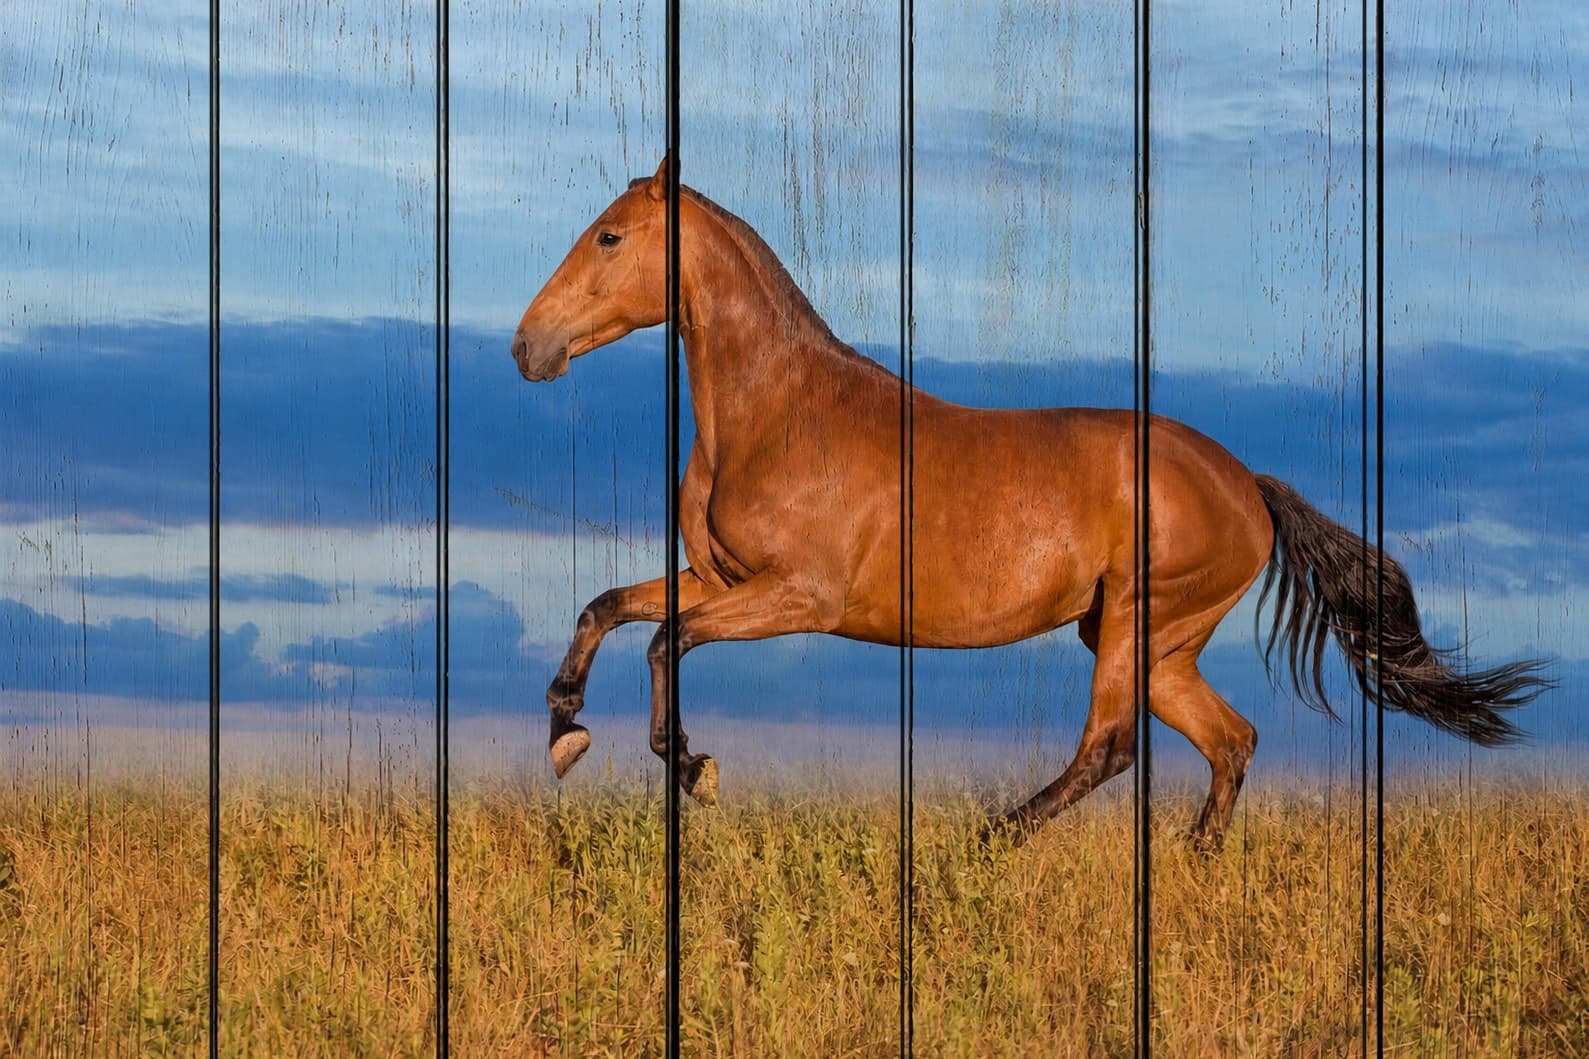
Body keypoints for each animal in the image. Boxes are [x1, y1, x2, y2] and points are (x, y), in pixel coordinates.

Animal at [510, 157, 1548, 850]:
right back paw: (1194, 863)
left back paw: (989, 839)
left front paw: (694, 767)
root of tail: (1245, 485)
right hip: (1150, 643)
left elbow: (662, 641)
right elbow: (605, 608)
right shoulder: (717, 577)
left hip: (1133, 624)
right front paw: (566, 733)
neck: (778, 414)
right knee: (1230, 740)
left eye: (609, 235)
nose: (527, 346)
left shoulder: (798, 597)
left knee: (1110, 749)